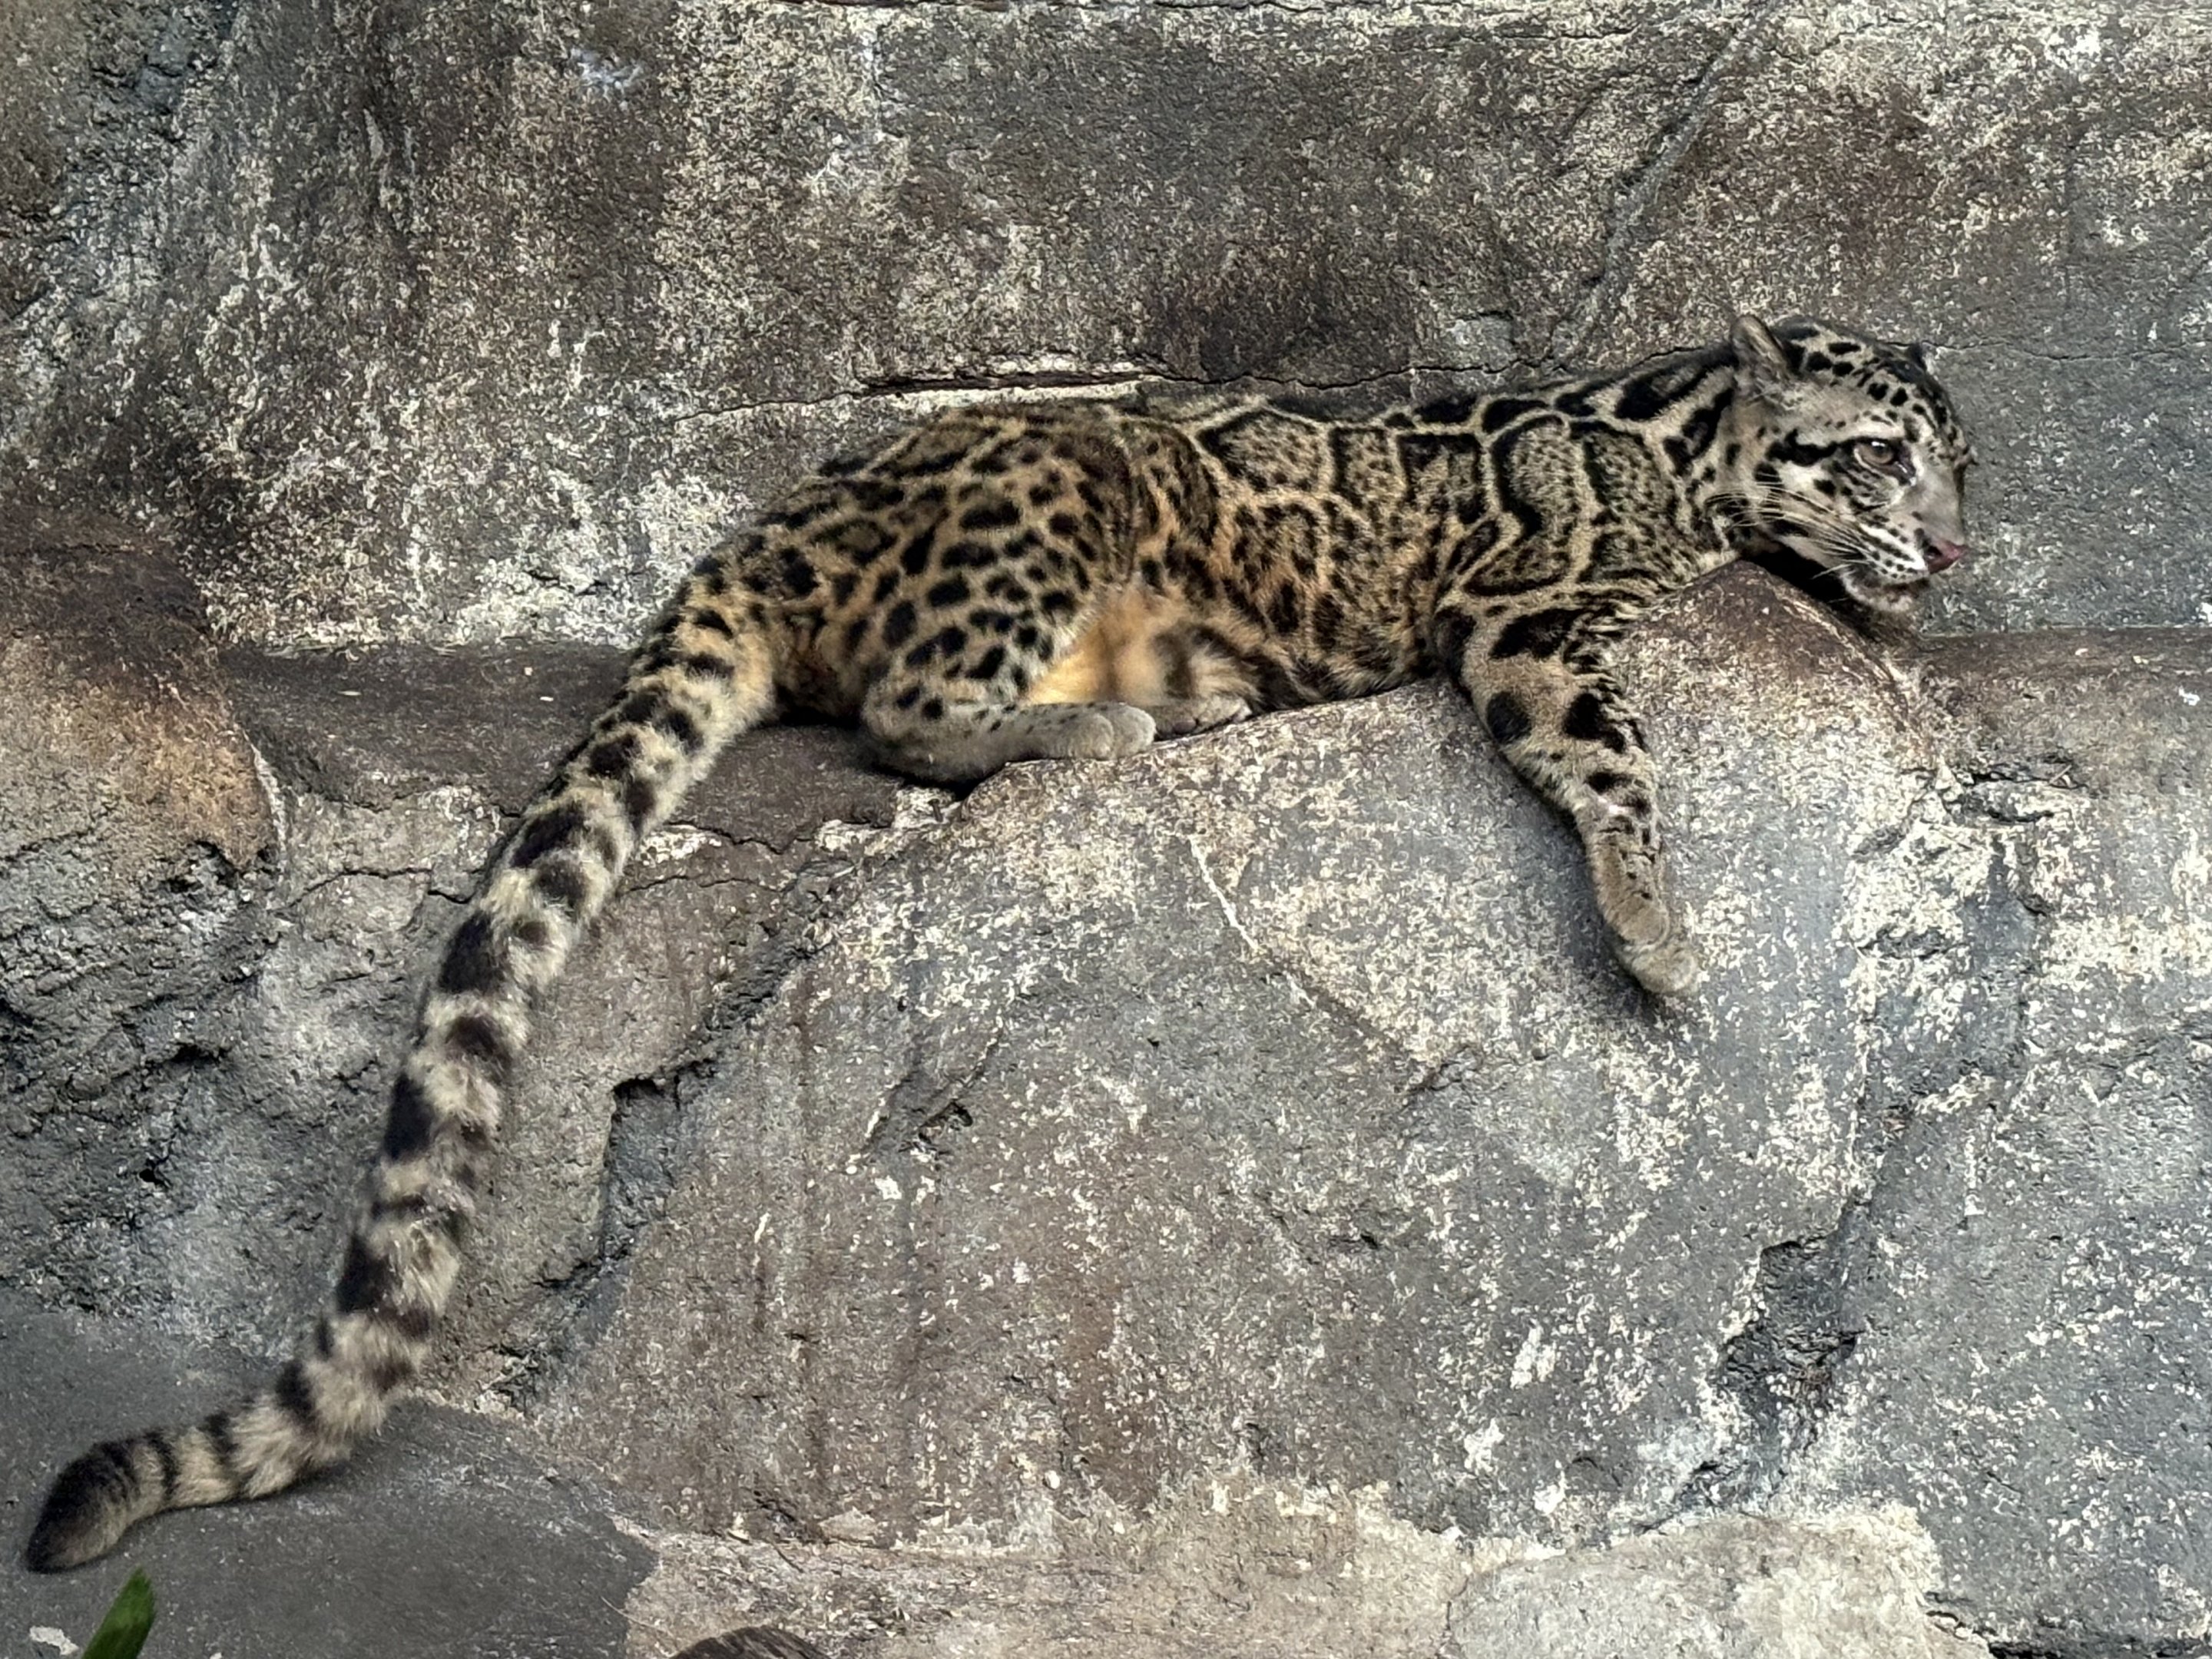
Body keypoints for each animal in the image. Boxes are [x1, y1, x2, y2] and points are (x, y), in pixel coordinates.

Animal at [25, 313, 1971, 1574]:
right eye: (1876, 450)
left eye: (1957, 458)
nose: (1950, 544)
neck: (1683, 462)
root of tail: (775, 520)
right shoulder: (1534, 621)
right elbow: (1609, 747)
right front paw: (1658, 933)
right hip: (1042, 504)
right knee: (904, 707)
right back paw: (1099, 726)